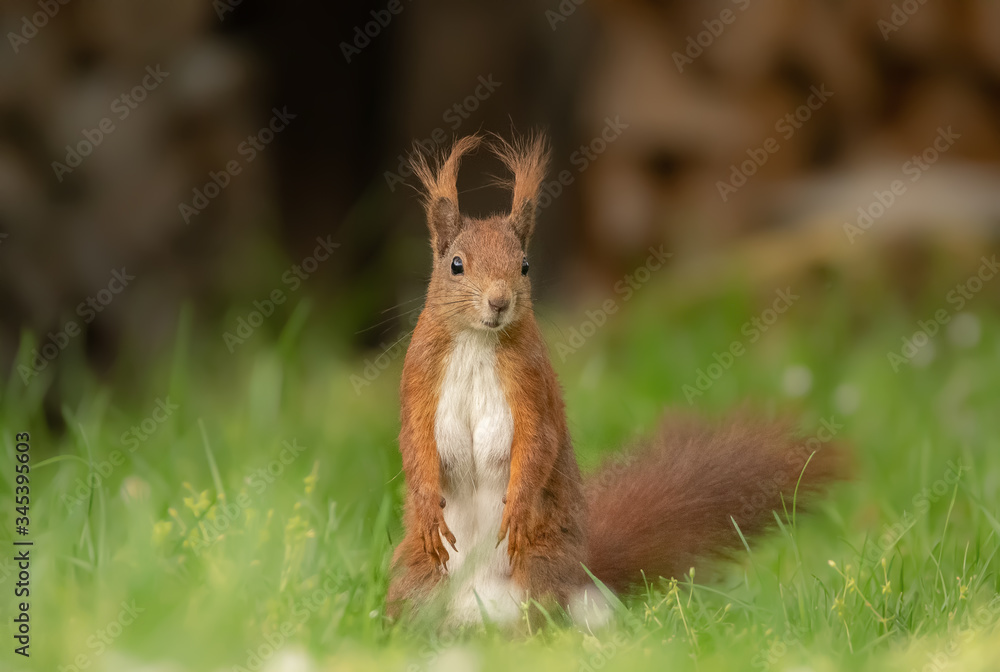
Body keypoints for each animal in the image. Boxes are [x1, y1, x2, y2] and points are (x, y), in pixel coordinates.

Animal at [382, 134, 844, 628]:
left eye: (524, 265)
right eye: (456, 265)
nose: (499, 302)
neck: (476, 340)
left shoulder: (532, 383)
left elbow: (538, 442)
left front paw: (519, 509)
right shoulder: (419, 378)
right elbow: (413, 443)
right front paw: (427, 509)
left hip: (540, 570)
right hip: (418, 576)